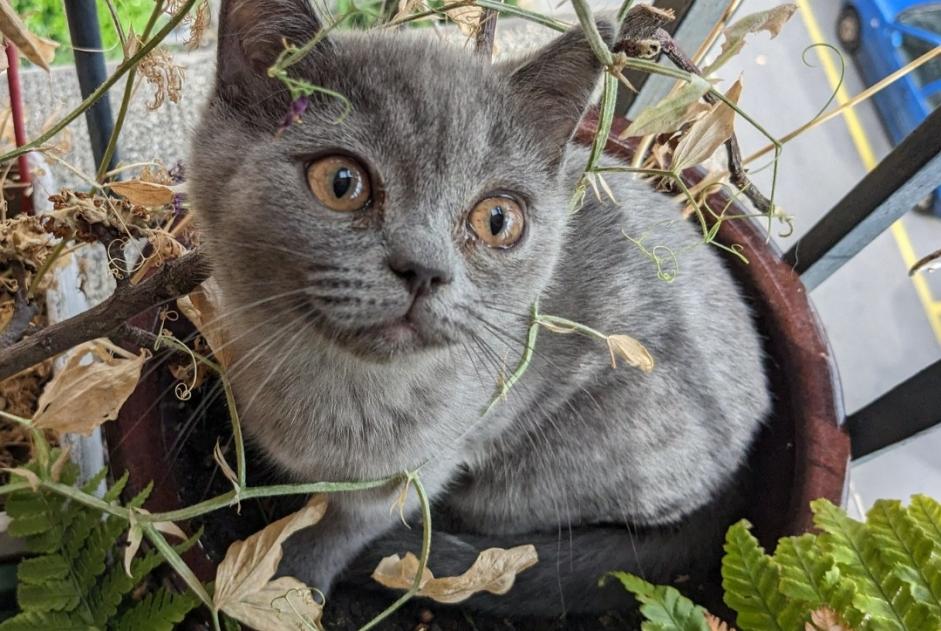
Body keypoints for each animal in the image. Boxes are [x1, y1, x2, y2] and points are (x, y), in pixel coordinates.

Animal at [189, 0, 772, 616]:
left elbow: (342, 527)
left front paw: (288, 586)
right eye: (341, 182)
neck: (335, 384)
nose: (425, 268)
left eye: (497, 220)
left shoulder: (425, 465)